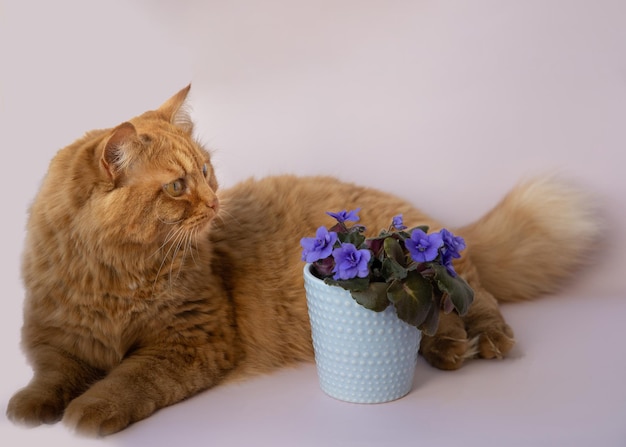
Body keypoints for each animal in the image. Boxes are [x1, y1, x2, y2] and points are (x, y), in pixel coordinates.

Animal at [7, 86, 596, 436]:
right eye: (177, 186)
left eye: (206, 171)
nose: (214, 202)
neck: (116, 277)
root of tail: (427, 220)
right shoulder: (56, 337)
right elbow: (52, 376)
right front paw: (29, 408)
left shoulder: (193, 339)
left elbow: (129, 379)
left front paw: (89, 412)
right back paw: (448, 350)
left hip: (441, 276)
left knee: (479, 300)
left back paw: (478, 343)